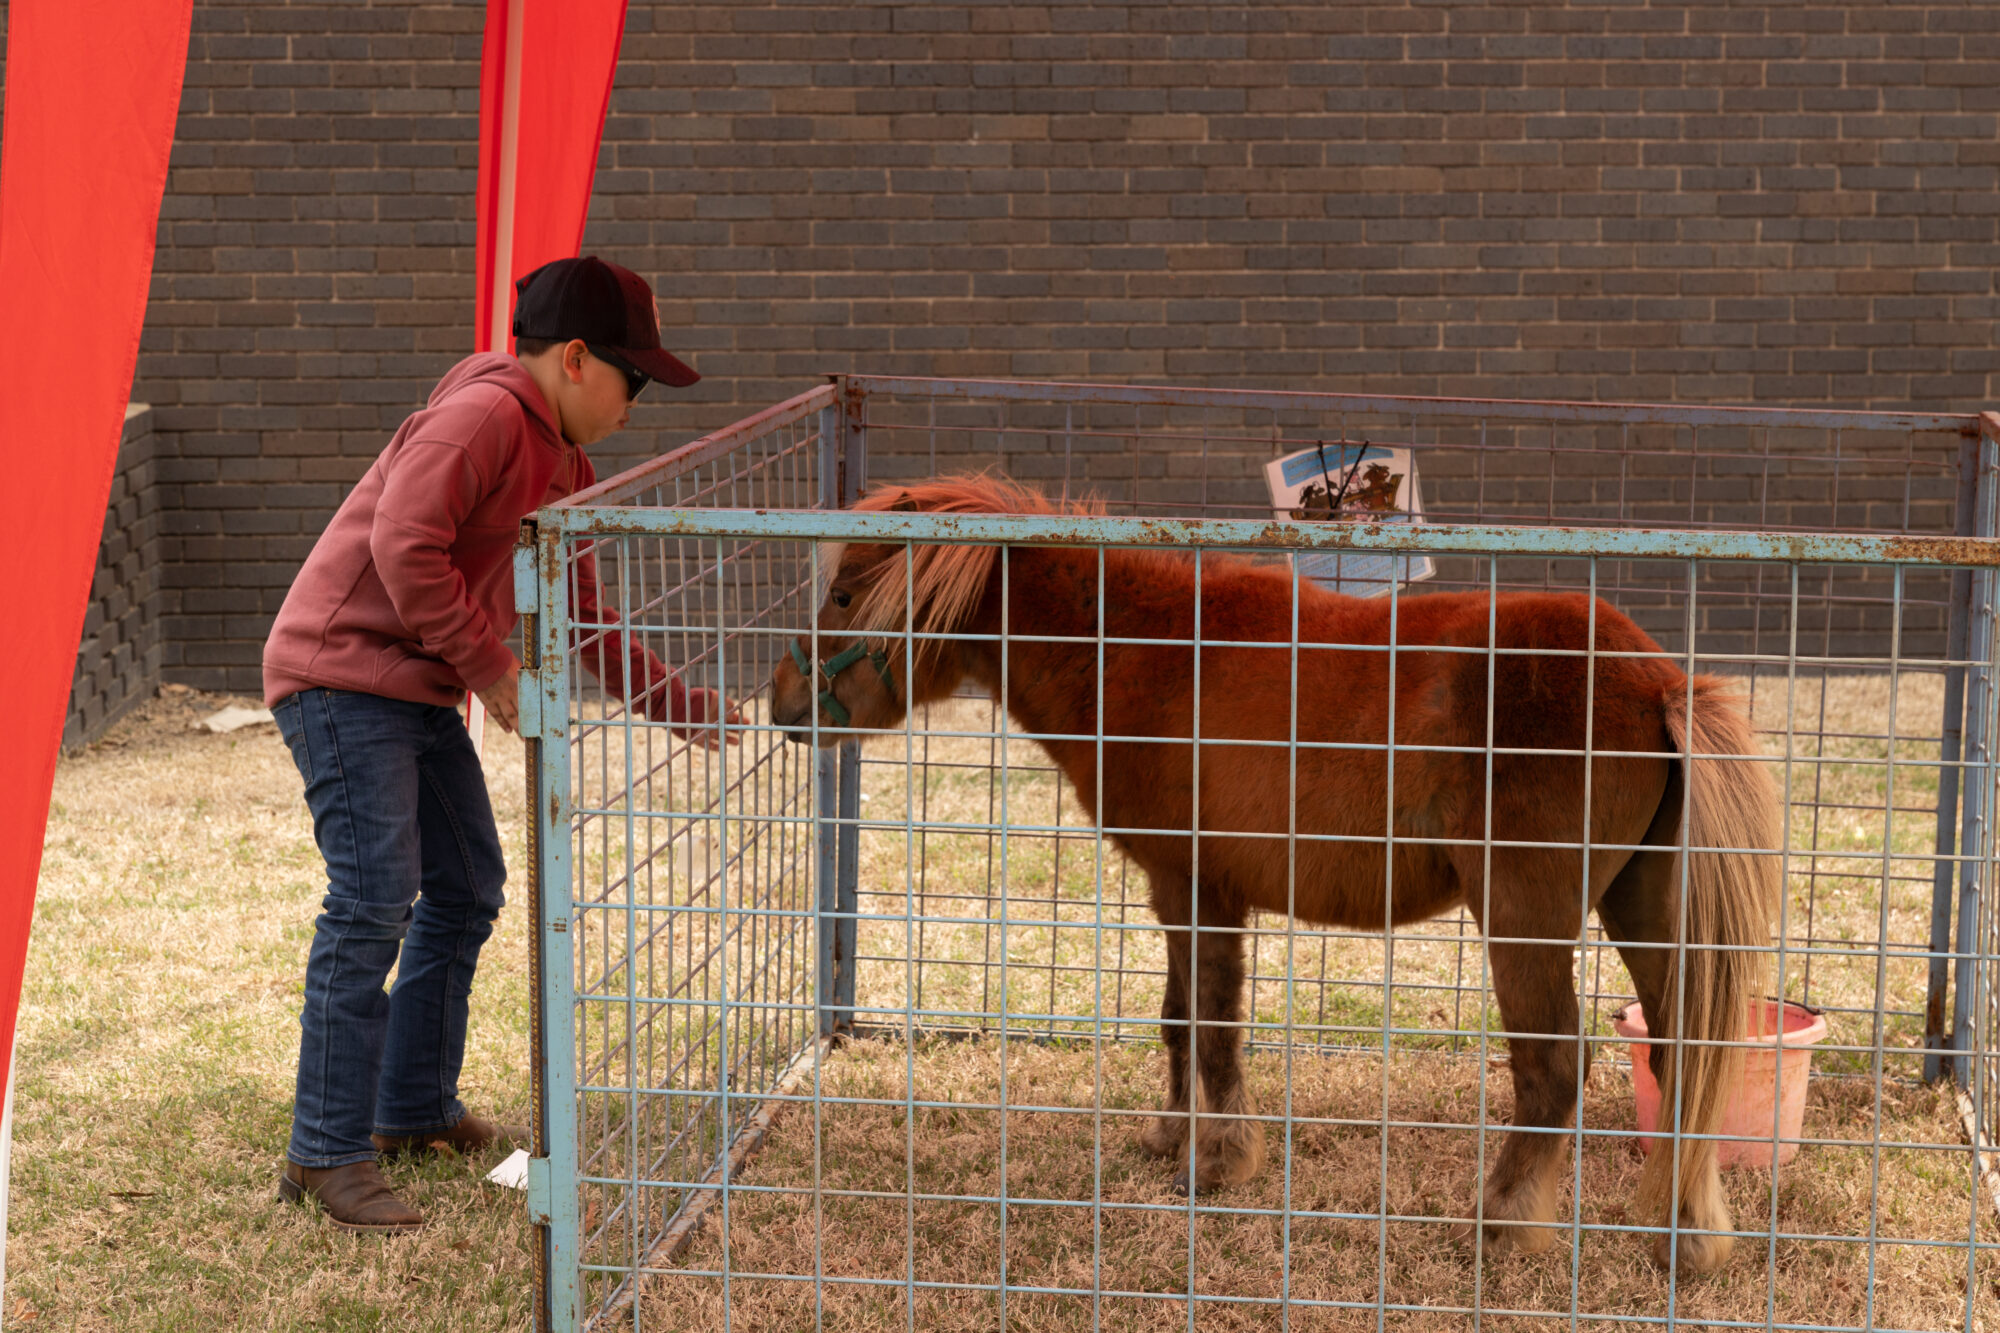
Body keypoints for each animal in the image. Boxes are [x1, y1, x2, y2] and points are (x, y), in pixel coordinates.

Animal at [768, 474, 1784, 1264]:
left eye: (846, 596)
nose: (780, 704)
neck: (1145, 650)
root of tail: (1656, 678)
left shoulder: (1198, 889)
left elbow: (1214, 1027)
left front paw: (1218, 1162)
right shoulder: (1181, 888)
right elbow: (1180, 1022)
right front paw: (1173, 1139)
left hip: (1524, 916)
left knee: (1552, 1066)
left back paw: (1503, 1223)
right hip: (1642, 906)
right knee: (1683, 1049)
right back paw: (1687, 1236)